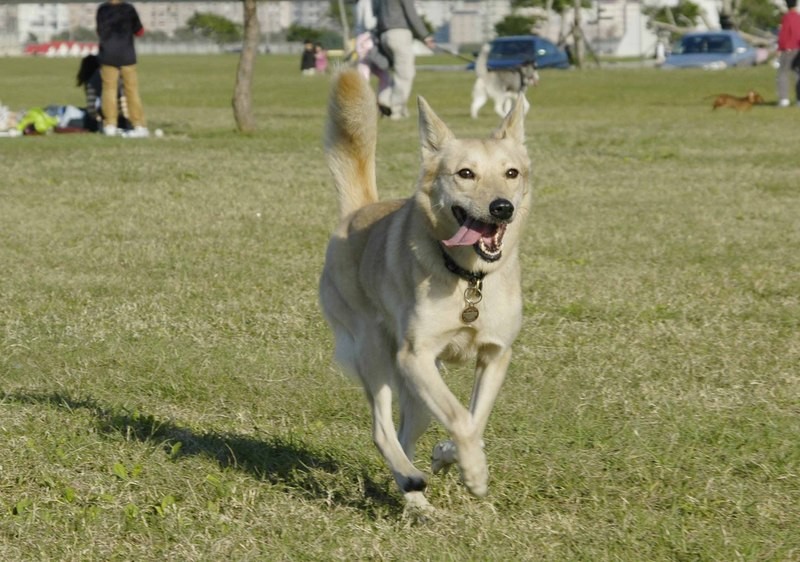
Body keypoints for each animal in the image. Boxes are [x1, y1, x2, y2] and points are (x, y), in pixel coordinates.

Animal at [318, 68, 532, 510]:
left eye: (512, 173)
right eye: (465, 173)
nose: (502, 208)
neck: (468, 278)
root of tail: (358, 211)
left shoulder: (495, 355)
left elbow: (474, 419)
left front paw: (450, 456)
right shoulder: (414, 356)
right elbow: (460, 419)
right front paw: (475, 473)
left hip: (416, 392)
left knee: (404, 434)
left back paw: (415, 498)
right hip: (376, 353)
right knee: (382, 431)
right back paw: (411, 479)